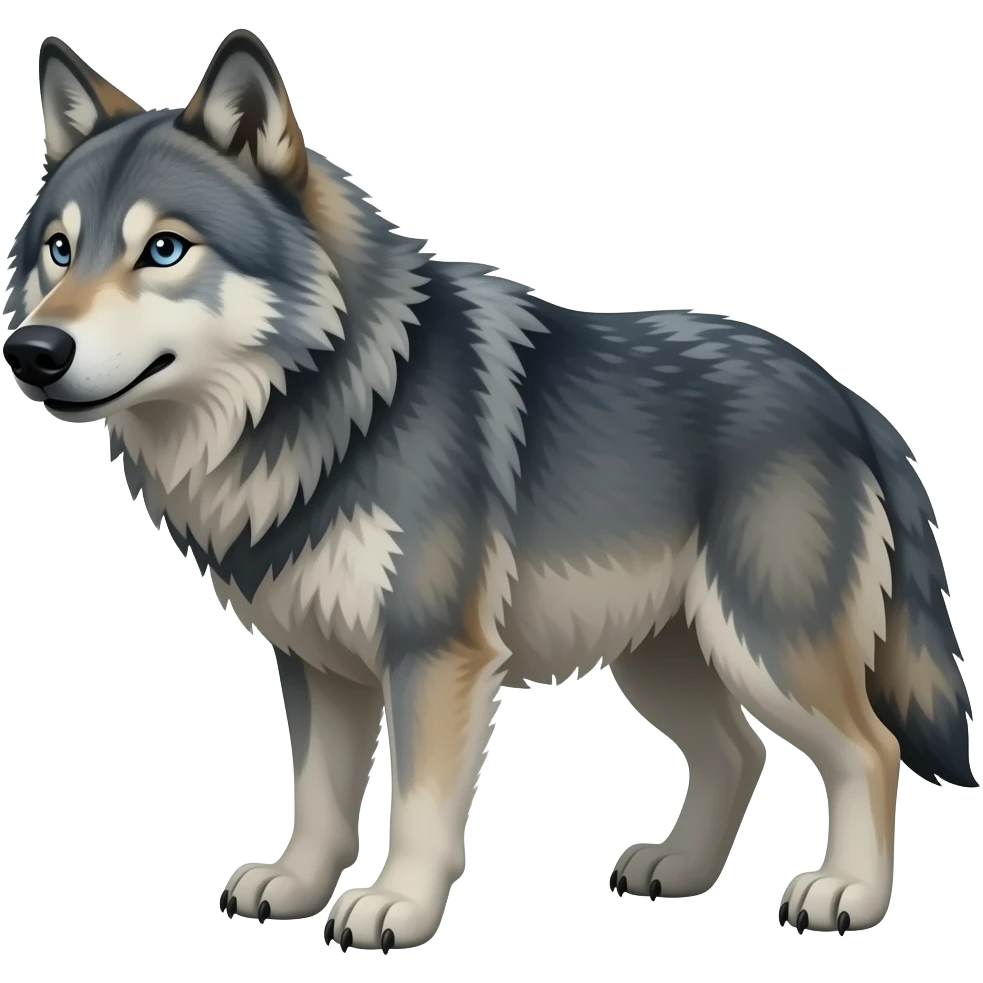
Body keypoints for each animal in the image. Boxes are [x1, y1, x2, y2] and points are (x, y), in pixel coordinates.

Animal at [2, 29, 975, 951]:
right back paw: (679, 869)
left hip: (765, 644)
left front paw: (395, 905)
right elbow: (317, 796)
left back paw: (846, 894)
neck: (336, 405)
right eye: (59, 251)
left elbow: (417, 805)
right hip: (665, 657)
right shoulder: (317, 661)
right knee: (738, 753)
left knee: (869, 748)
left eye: (163, 249)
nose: (32, 352)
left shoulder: (436, 654)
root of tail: (845, 398)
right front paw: (296, 885)